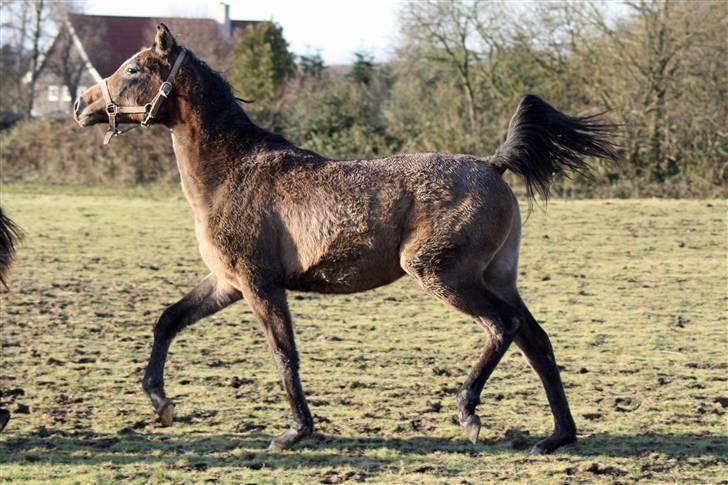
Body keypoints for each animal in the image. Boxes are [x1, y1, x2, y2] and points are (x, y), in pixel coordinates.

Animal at [72, 24, 616, 452]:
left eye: (133, 70)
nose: (81, 103)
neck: (231, 172)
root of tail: (493, 164)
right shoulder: (226, 282)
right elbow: (168, 320)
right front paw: (162, 404)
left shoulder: (258, 284)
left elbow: (283, 352)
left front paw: (296, 431)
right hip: (498, 276)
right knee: (535, 340)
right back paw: (557, 436)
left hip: (444, 275)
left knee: (502, 327)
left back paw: (468, 413)